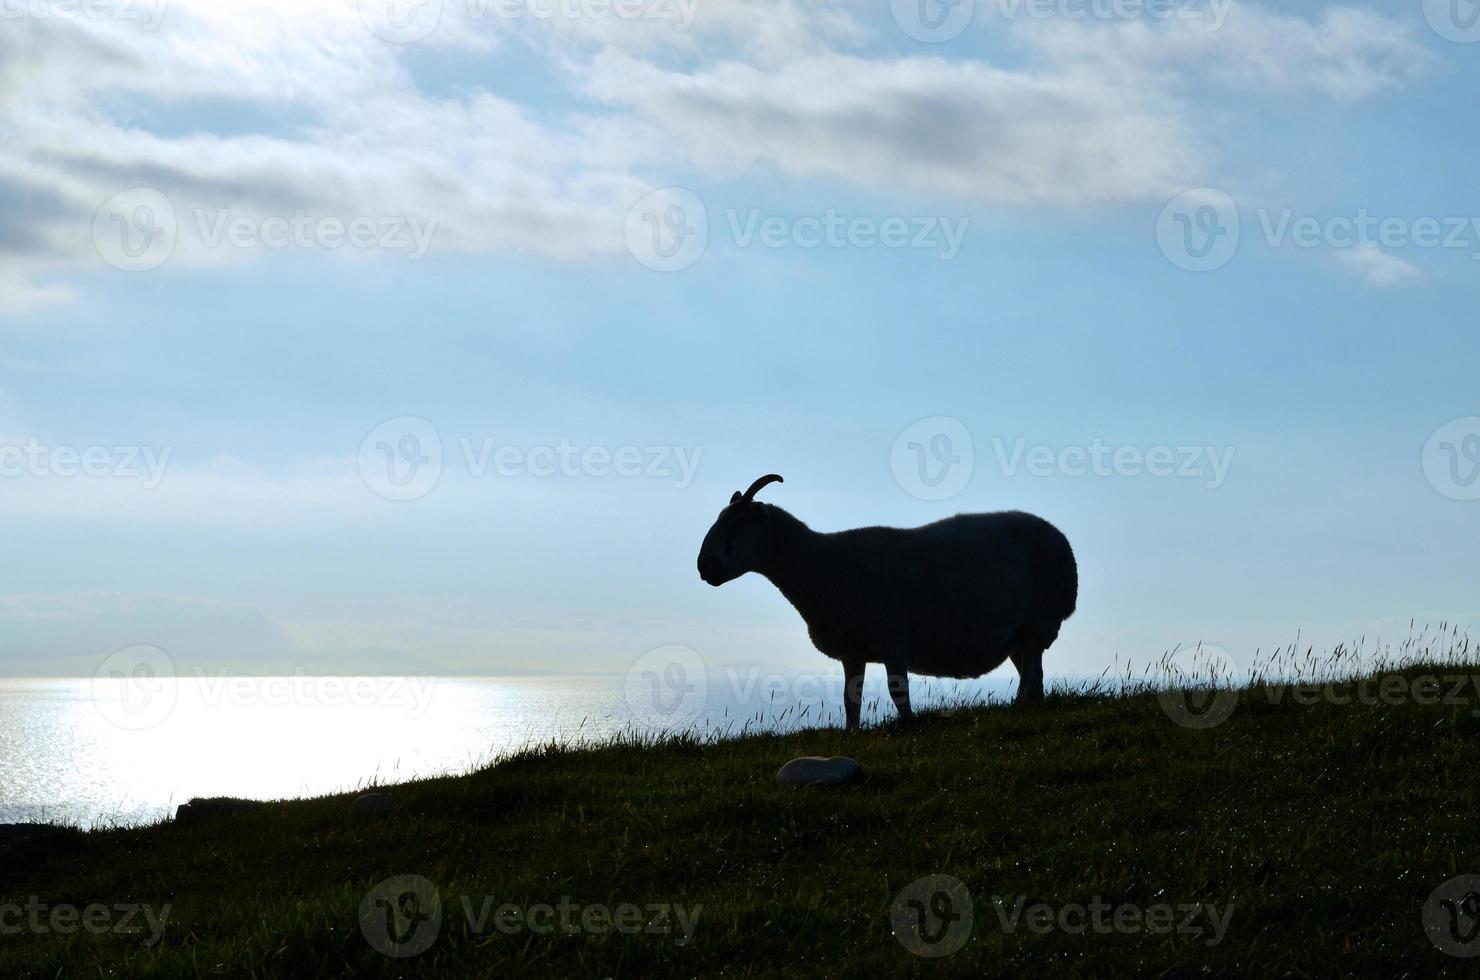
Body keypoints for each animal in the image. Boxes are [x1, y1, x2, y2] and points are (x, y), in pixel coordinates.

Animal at [698, 476, 1083, 728]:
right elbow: (850, 701)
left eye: (738, 524)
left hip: (1037, 621)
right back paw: (1033, 709)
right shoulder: (852, 651)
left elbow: (899, 692)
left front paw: (909, 727)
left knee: (1031, 673)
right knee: (1034, 673)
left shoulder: (893, 639)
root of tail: (1063, 544)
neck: (822, 565)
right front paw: (851, 734)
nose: (705, 567)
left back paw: (1018, 710)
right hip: (1018, 635)